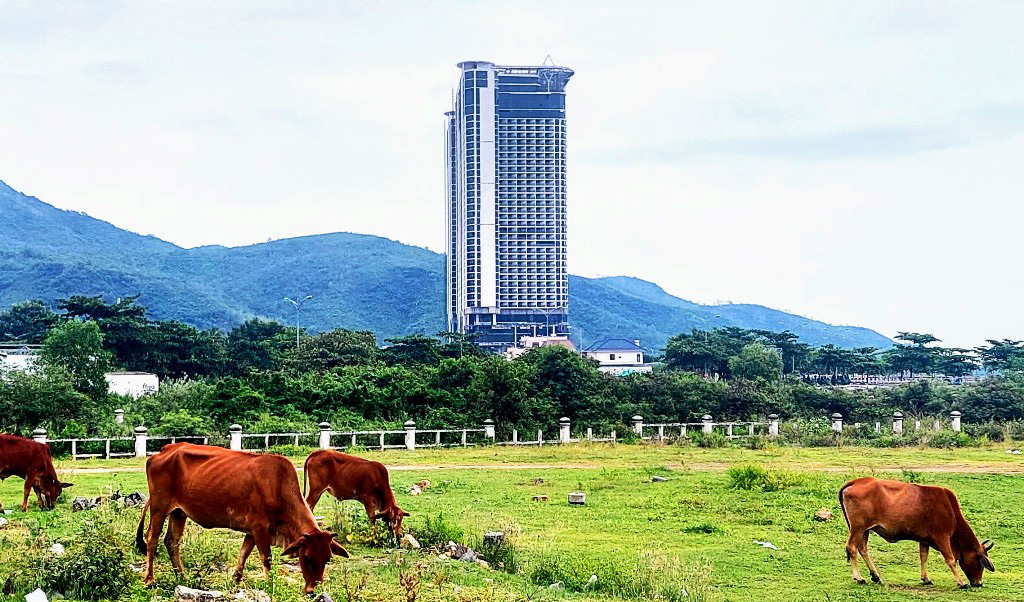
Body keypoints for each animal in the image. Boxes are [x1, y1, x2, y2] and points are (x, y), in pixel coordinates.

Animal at [136, 442, 348, 593]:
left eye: (327, 559)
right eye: (307, 557)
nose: (313, 591)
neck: (279, 487)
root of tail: (164, 450)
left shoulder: (252, 530)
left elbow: (243, 554)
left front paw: (235, 581)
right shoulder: (260, 527)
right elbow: (266, 558)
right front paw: (270, 584)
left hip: (179, 512)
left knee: (172, 542)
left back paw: (182, 577)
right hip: (159, 506)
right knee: (152, 539)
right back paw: (149, 579)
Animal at [839, 475, 991, 589]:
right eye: (980, 563)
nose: (979, 583)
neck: (951, 511)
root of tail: (855, 482)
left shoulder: (924, 540)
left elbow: (923, 557)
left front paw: (926, 578)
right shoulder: (942, 537)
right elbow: (951, 560)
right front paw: (961, 582)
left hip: (865, 530)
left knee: (863, 549)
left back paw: (875, 576)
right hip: (858, 528)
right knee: (852, 548)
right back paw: (859, 578)